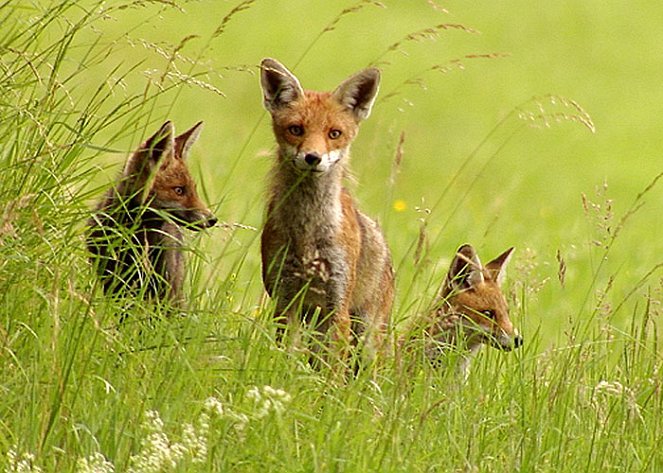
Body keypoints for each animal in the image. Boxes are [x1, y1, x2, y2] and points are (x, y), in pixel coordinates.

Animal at [260, 59, 394, 362]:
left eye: (334, 134)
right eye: (296, 129)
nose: (313, 158)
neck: (307, 233)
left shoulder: (338, 305)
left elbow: (334, 370)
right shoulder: (285, 302)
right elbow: (284, 360)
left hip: (367, 336)